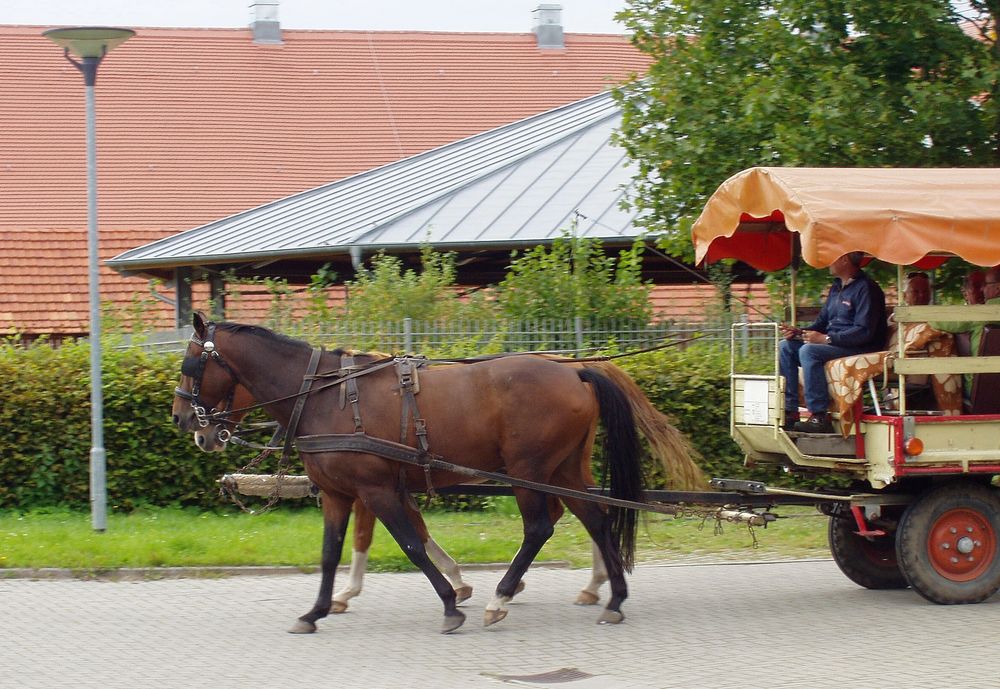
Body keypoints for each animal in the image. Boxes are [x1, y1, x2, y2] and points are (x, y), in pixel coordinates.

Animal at [174, 314, 696, 632]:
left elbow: (409, 544)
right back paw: (613, 597)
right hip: (562, 469)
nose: (185, 423)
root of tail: (575, 369)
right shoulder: (339, 495)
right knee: (597, 520)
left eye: (192, 364)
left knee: (540, 528)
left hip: (529, 469)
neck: (324, 396)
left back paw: (502, 597)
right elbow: (329, 554)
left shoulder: (376, 489)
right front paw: (317, 610)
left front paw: (450, 602)